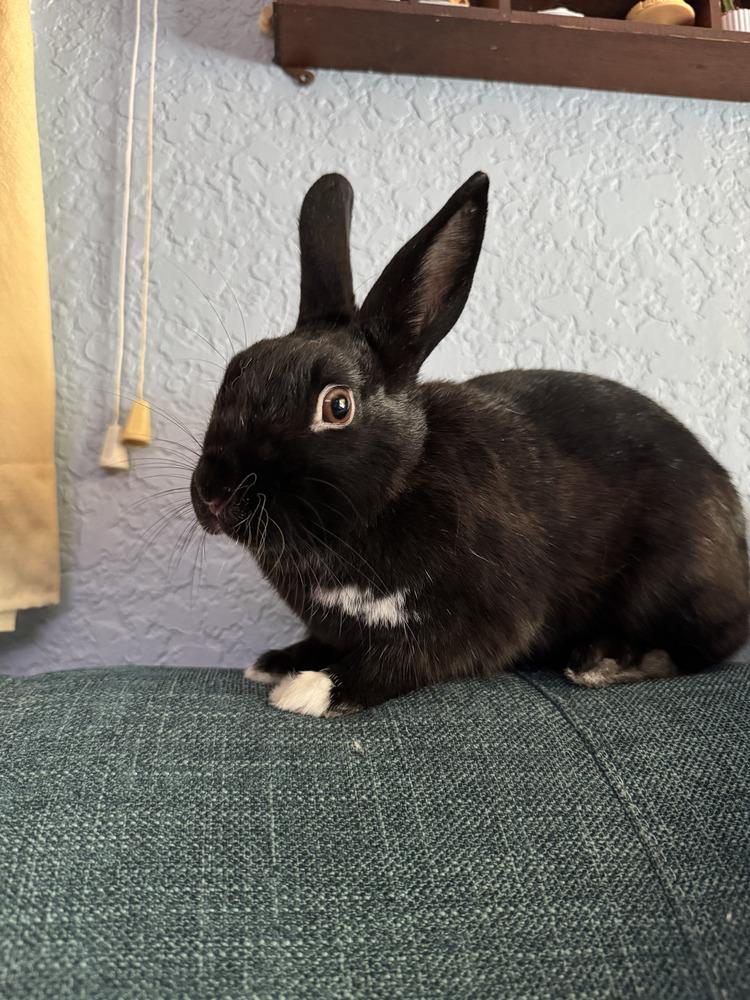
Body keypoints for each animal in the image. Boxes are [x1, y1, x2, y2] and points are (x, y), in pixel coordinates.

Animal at [191, 172, 749, 717]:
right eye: (235, 372)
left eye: (338, 406)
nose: (215, 495)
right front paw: (276, 662)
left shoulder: (483, 621)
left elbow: (405, 660)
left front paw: (313, 690)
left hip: (671, 580)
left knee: (696, 648)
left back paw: (602, 663)